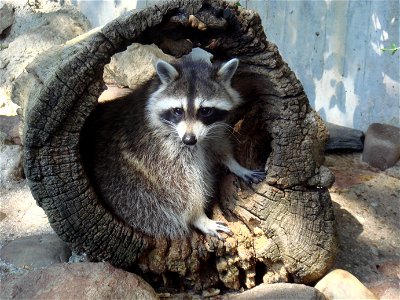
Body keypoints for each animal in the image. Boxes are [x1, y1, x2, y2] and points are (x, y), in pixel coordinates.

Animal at [80, 51, 266, 239]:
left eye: (205, 110)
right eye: (178, 111)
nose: (189, 140)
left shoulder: (213, 129)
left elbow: (218, 145)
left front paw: (236, 165)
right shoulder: (160, 149)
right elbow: (180, 185)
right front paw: (198, 217)